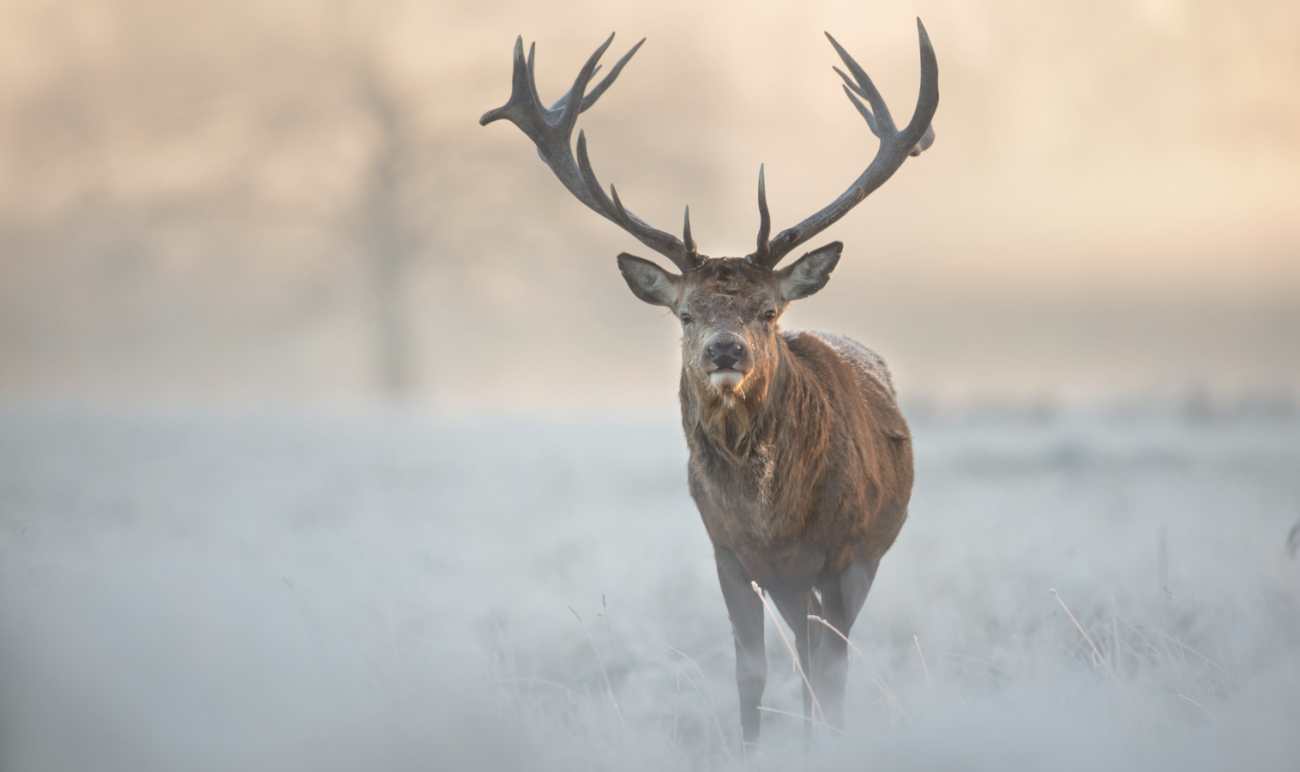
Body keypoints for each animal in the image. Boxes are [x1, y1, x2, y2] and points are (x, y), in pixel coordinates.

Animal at [481, 21, 938, 749]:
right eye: (686, 313)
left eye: (769, 311)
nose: (726, 349)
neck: (773, 521)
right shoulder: (727, 552)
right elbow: (751, 672)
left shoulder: (845, 552)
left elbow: (831, 674)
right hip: (789, 584)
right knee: (802, 654)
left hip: (862, 556)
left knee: (820, 660)